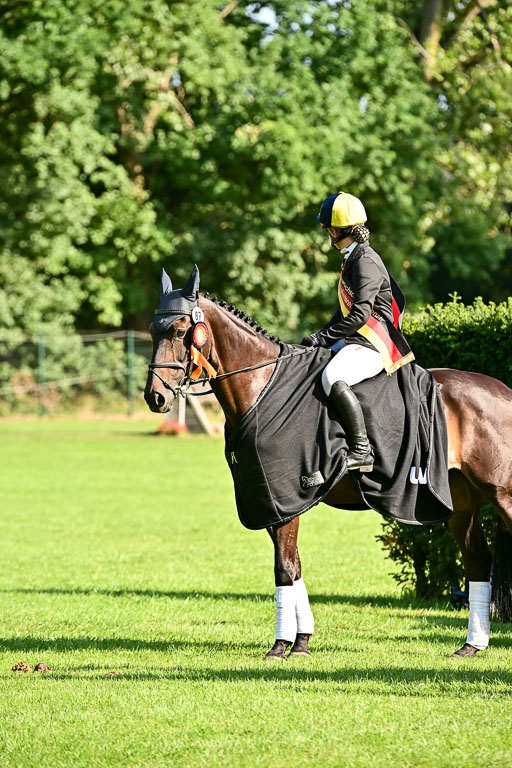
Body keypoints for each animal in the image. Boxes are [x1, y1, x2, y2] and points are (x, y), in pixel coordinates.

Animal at [144, 266, 512, 660]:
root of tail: (504, 391)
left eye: (179, 331)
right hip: (461, 498)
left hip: (501, 493)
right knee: (478, 560)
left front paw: (280, 646)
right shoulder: (270, 500)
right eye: (153, 331)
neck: (262, 386)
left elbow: (284, 568)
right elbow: (294, 568)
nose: (155, 397)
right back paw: (471, 646)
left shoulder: (283, 496)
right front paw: (301, 642)